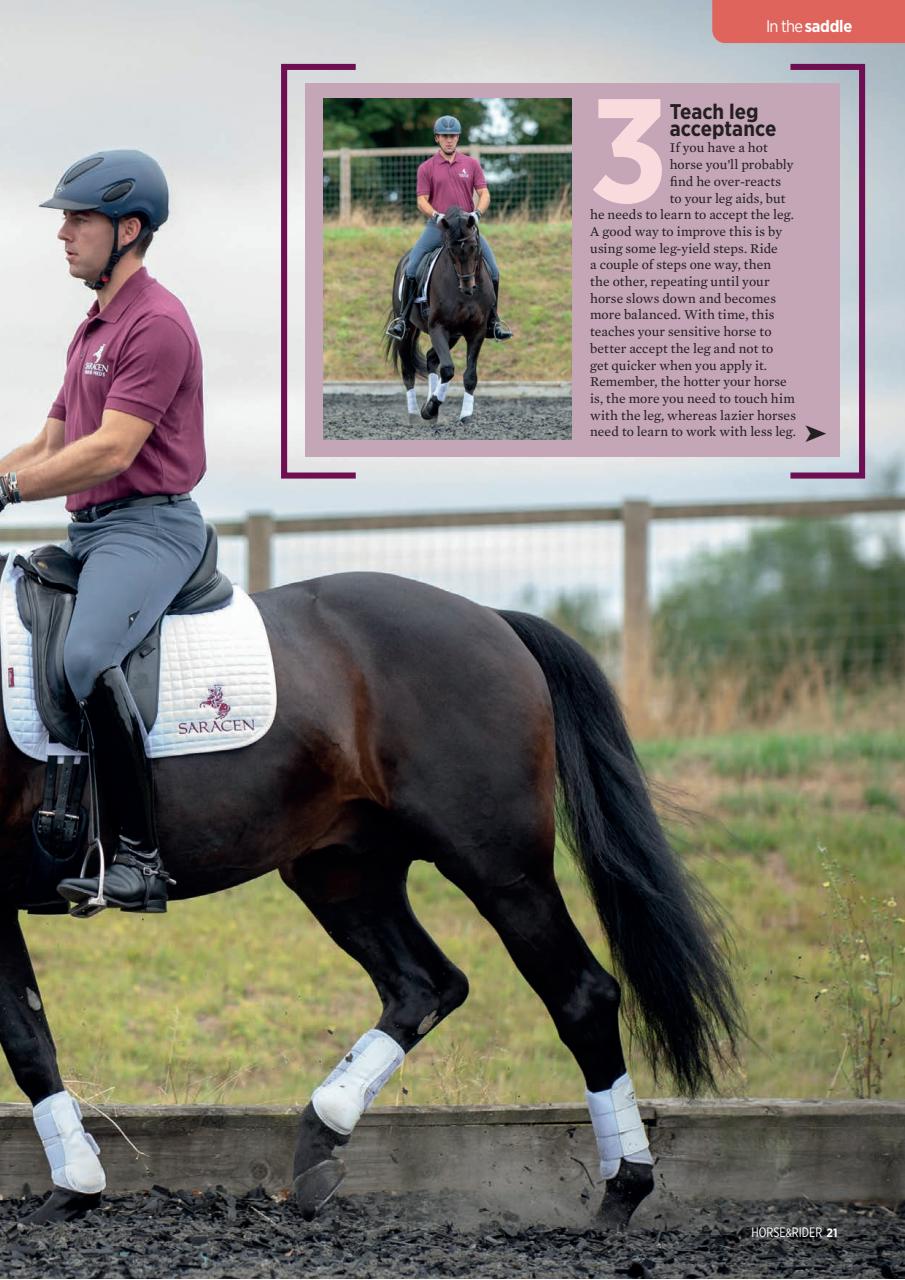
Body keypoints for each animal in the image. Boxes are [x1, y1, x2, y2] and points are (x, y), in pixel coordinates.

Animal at [0, 561, 743, 1225]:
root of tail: (491, 618)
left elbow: (26, 1043)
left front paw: (74, 1187)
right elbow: (30, 1034)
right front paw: (77, 1184)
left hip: (497, 868)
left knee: (580, 994)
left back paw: (623, 1189)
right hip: (344, 872)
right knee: (425, 984)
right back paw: (321, 1137)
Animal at [385, 206, 494, 427]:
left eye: (474, 247)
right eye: (451, 250)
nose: (468, 287)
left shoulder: (476, 331)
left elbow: (470, 375)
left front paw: (466, 416)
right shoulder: (438, 327)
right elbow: (448, 370)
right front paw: (429, 409)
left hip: (454, 335)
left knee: (430, 359)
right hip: (408, 330)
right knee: (408, 371)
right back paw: (415, 414)